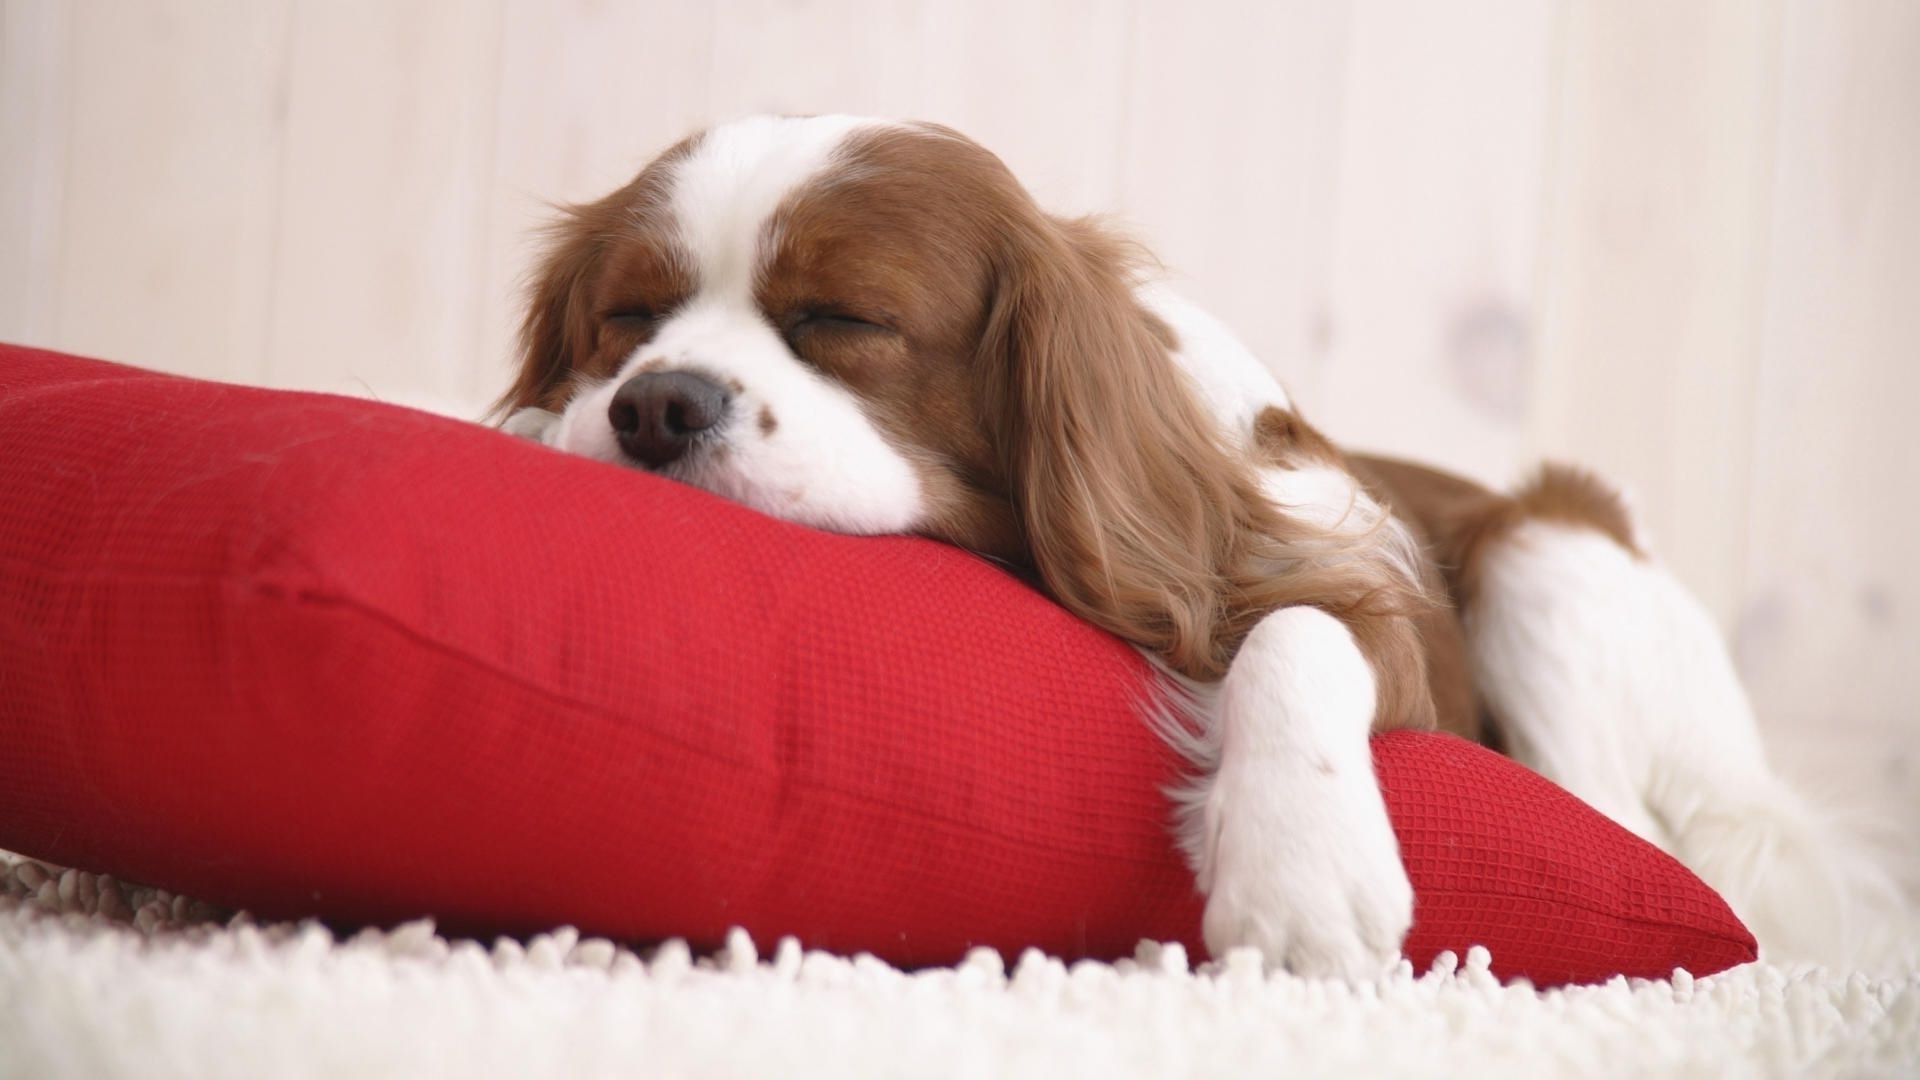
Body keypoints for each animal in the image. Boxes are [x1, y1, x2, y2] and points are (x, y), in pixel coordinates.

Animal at [503, 113, 1912, 972]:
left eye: (842, 321)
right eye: (625, 321)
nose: (654, 405)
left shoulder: (1378, 620)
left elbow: (1296, 632)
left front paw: (1302, 873)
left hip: (1550, 552)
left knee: (1630, 827)